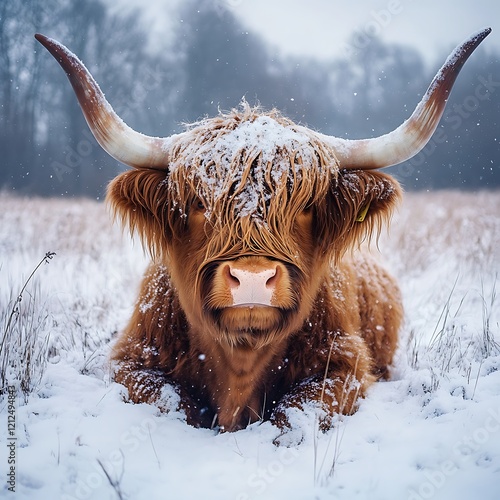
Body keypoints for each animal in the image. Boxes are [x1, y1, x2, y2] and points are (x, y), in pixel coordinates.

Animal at [37, 28, 490, 434]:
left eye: (305, 207)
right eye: (198, 203)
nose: (252, 277)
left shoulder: (345, 368)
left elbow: (296, 414)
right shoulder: (133, 359)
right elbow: (167, 401)